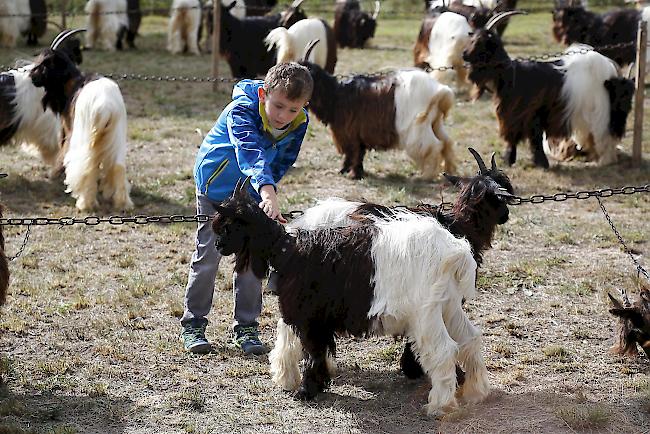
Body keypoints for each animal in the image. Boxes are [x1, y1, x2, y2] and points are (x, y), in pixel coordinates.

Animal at [29, 30, 133, 212]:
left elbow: (63, 149)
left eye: (45, 64)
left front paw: (52, 174)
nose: (32, 76)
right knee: (118, 166)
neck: (72, 83)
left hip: (85, 135)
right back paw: (123, 204)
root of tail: (105, 107)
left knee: (86, 166)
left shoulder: (70, 129)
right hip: (115, 135)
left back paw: (85, 203)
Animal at [210, 178, 488, 416]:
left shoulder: (308, 317)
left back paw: (440, 405)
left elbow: (313, 351)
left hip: (425, 314)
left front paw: (306, 390)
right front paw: (312, 383)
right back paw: (476, 391)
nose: (218, 246)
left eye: (229, 224)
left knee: (444, 350)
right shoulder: (316, 317)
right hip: (448, 306)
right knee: (470, 339)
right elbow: (316, 349)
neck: (288, 250)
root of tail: (455, 250)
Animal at [298, 39, 454, 178]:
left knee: (435, 145)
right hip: (434, 123)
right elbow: (357, 153)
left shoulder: (350, 133)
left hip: (418, 128)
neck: (335, 95)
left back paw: (428, 175)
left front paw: (352, 174)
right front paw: (350, 171)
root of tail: (440, 91)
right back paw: (448, 171)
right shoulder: (356, 134)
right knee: (446, 142)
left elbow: (353, 152)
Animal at [460, 11, 632, 168]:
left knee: (604, 136)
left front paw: (513, 161)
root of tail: (610, 72)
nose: (464, 55)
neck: (510, 74)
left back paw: (604, 161)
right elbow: (531, 139)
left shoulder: (522, 115)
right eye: (472, 39)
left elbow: (521, 138)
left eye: (480, 42)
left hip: (600, 113)